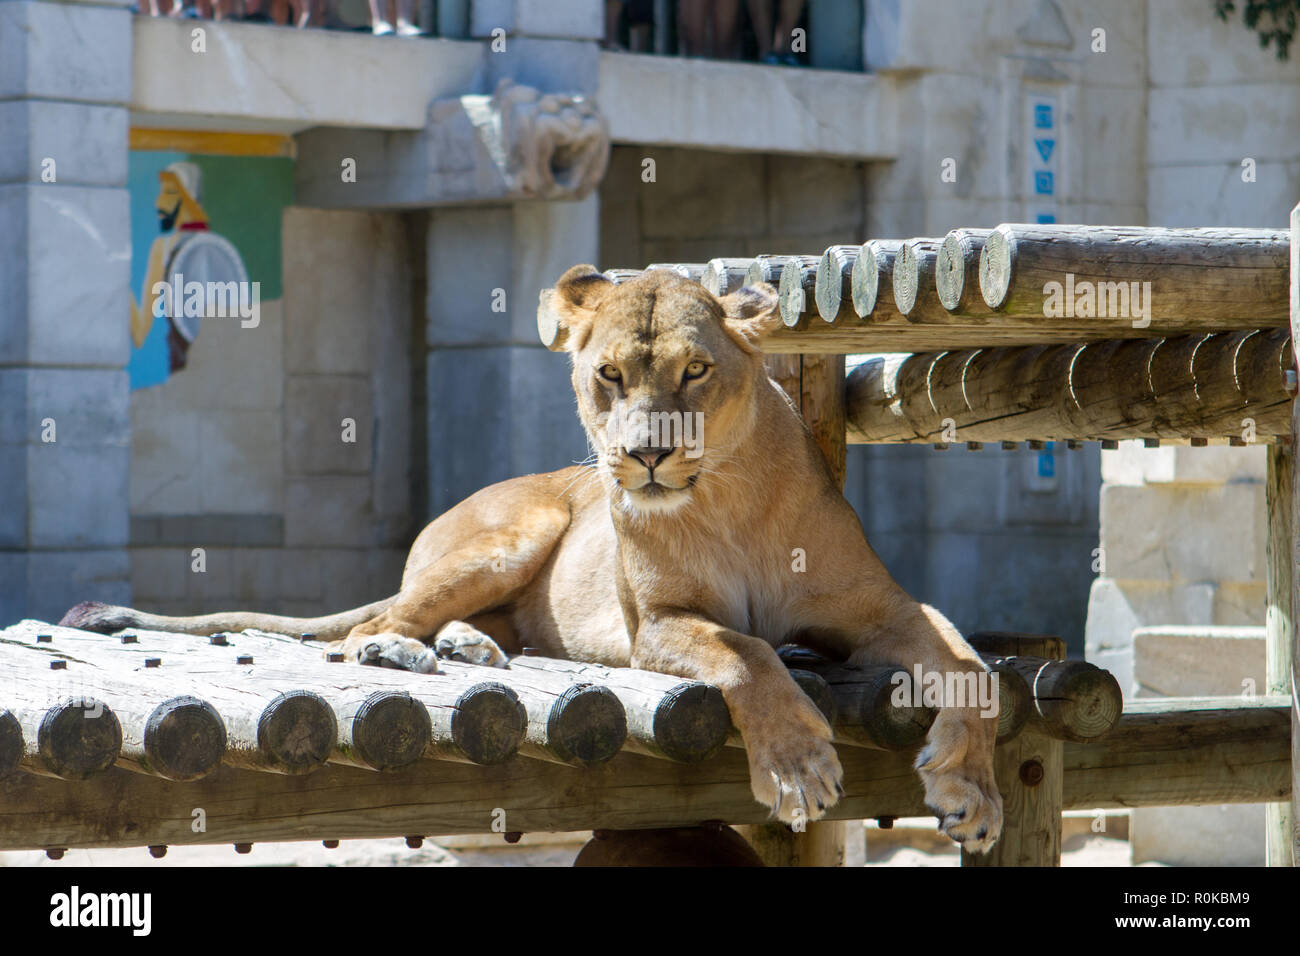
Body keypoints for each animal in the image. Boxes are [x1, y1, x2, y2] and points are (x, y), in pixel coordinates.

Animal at [61, 266, 1002, 851]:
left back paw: (471, 647)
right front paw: (799, 766)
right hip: (521, 530)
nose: (645, 457)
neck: (728, 499)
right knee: (368, 624)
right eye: (609, 375)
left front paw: (973, 794)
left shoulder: (885, 609)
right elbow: (748, 655)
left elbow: (969, 668)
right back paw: (409, 649)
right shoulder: (659, 624)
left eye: (696, 371)